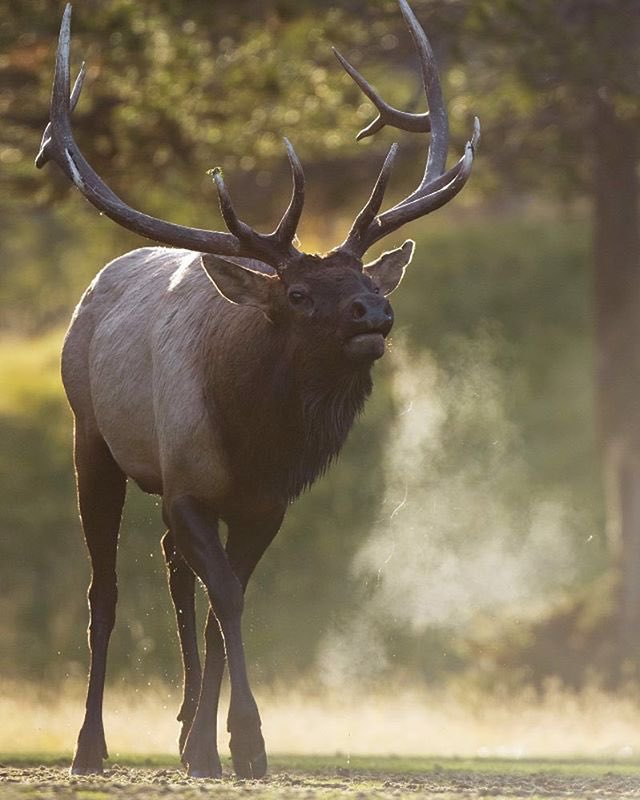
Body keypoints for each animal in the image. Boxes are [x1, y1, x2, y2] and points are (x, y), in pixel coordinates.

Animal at [36, 0, 479, 780]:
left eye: (363, 279)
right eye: (298, 294)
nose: (374, 312)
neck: (252, 440)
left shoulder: (265, 504)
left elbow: (225, 607)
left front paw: (207, 746)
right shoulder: (187, 485)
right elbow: (228, 600)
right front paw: (246, 743)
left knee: (174, 572)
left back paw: (184, 726)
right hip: (92, 438)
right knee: (105, 590)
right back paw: (90, 747)